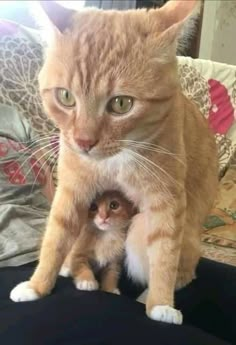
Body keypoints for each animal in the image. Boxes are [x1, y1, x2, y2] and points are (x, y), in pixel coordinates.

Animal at [10, 0, 218, 324]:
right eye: (66, 97)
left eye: (121, 103)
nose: (83, 141)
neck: (115, 158)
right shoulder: (72, 191)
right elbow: (55, 238)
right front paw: (37, 285)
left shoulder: (166, 201)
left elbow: (165, 255)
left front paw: (160, 304)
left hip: (153, 231)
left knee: (184, 268)